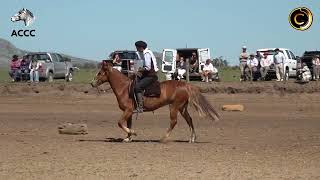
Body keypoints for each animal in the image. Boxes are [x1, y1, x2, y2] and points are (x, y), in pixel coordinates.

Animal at [91, 61, 219, 143]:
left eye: (100, 73)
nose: (92, 83)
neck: (124, 88)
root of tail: (186, 85)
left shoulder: (128, 110)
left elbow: (119, 123)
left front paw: (133, 133)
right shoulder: (129, 112)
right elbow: (127, 124)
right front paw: (128, 137)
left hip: (174, 106)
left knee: (174, 122)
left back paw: (163, 138)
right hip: (182, 107)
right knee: (189, 119)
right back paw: (192, 138)